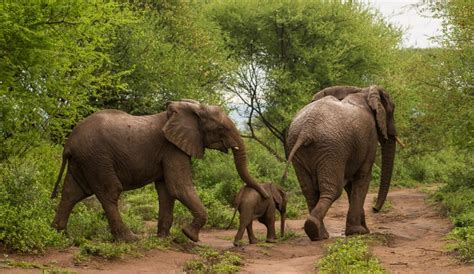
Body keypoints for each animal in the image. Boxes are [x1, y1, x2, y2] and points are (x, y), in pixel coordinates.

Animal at [51, 100, 268, 242]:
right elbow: (179, 186)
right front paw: (189, 235)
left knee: (72, 192)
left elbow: (167, 191)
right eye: (222, 128)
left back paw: (61, 234)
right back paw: (130, 239)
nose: (265, 196)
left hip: (84, 160)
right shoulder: (172, 148)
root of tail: (69, 143)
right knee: (109, 192)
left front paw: (163, 238)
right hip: (97, 158)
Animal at [284, 85, 398, 240]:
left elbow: (350, 186)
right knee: (333, 190)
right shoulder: (370, 139)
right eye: (392, 109)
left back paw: (319, 234)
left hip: (298, 148)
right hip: (331, 148)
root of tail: (306, 130)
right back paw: (317, 230)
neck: (364, 91)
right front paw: (358, 231)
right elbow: (362, 178)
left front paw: (362, 230)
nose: (374, 209)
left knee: (310, 192)